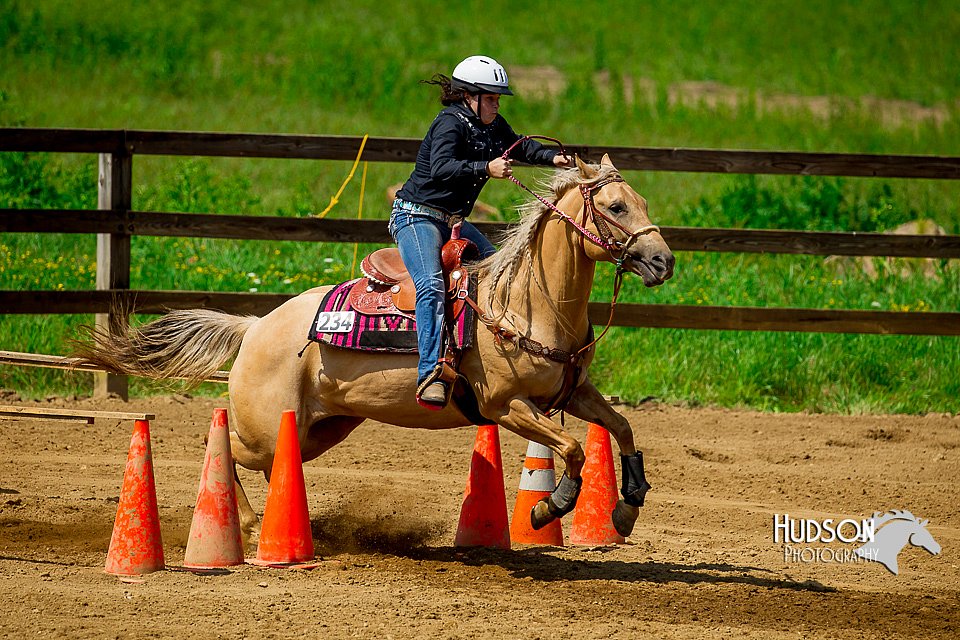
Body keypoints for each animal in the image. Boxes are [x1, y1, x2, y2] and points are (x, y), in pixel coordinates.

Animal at [77, 155, 676, 540]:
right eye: (616, 207)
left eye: (644, 201)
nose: (663, 261)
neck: (525, 301)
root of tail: (255, 327)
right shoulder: (505, 406)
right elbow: (573, 449)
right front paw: (548, 508)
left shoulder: (571, 392)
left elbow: (622, 427)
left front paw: (627, 509)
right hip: (267, 425)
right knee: (224, 444)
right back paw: (247, 523)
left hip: (319, 427)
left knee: (274, 466)